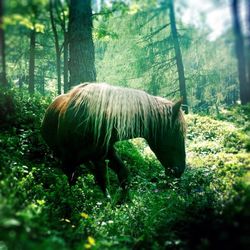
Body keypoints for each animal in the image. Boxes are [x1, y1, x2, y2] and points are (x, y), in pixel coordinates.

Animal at [41, 83, 186, 198]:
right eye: (177, 132)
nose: (179, 170)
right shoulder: (68, 163)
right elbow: (73, 185)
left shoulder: (105, 154)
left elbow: (121, 175)